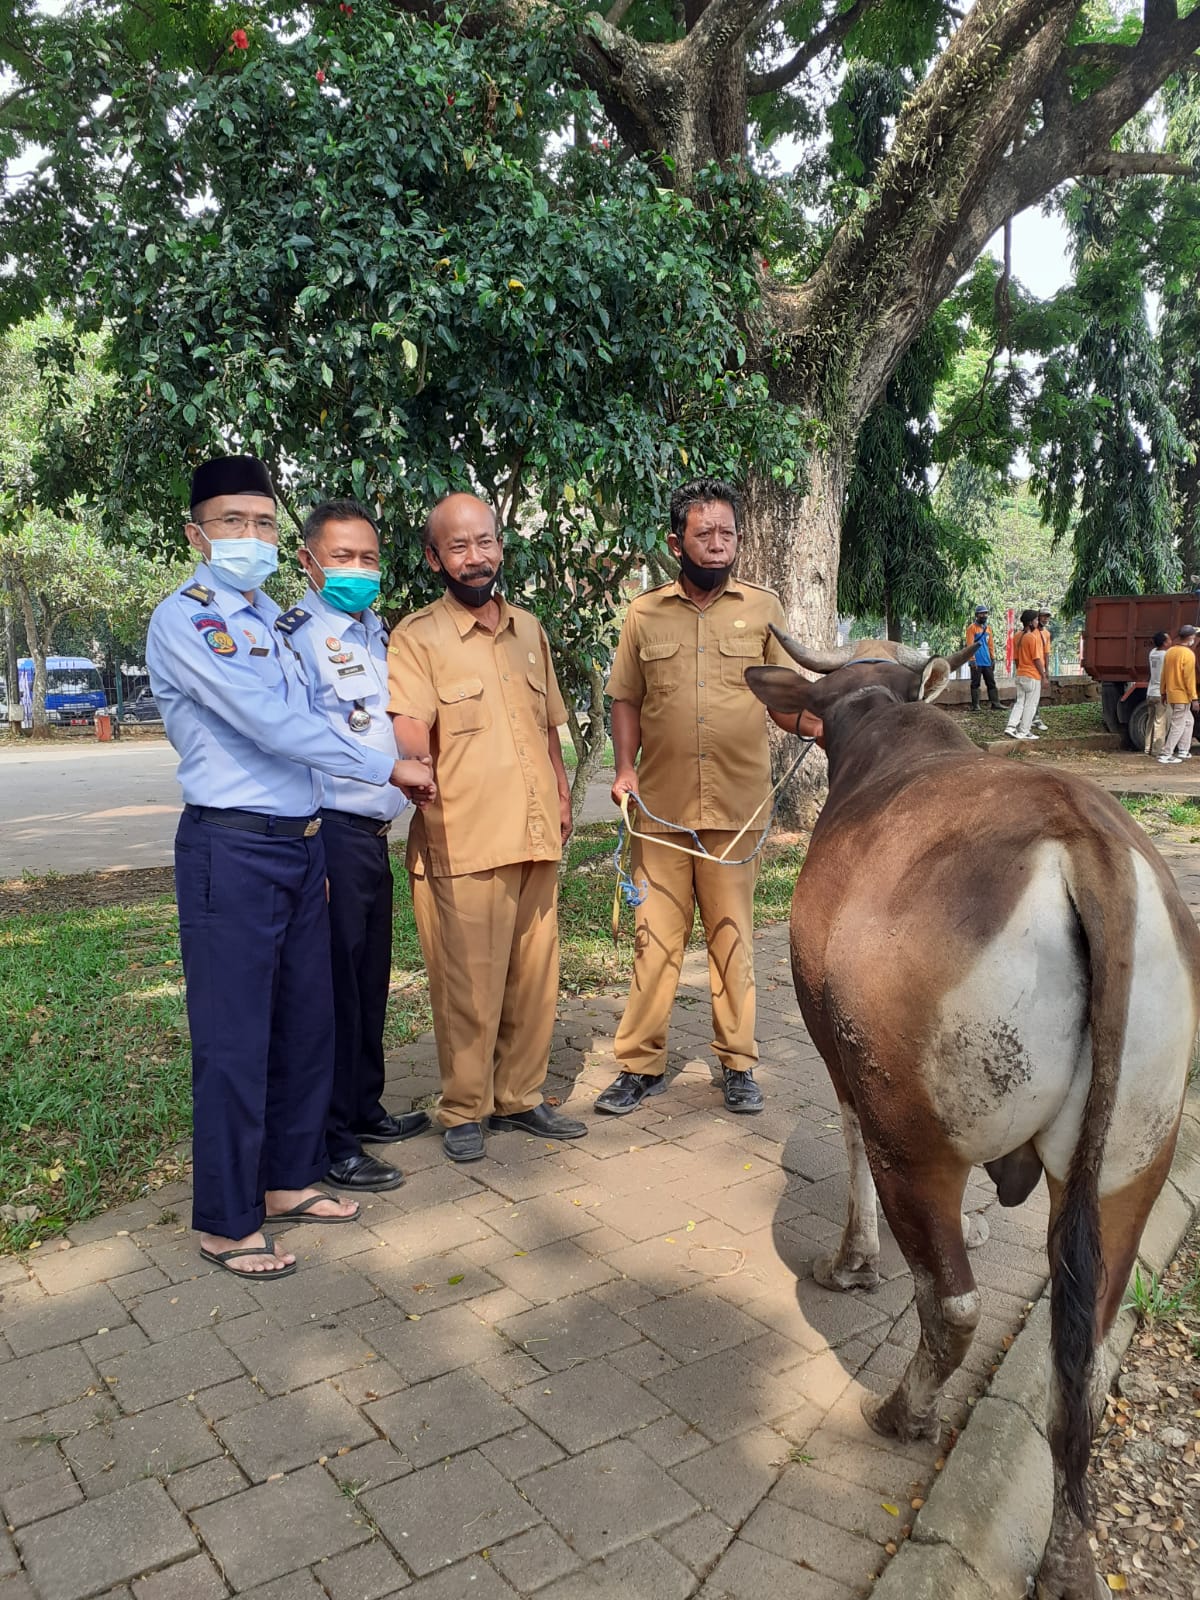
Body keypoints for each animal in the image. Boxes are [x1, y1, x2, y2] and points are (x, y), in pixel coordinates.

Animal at [748, 630, 1196, 1600]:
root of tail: (1088, 847)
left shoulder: (842, 1059)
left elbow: (847, 1140)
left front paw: (854, 1260)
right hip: (1135, 1159)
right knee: (1082, 1355)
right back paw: (1068, 1555)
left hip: (912, 1140)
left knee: (950, 1305)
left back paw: (902, 1411)